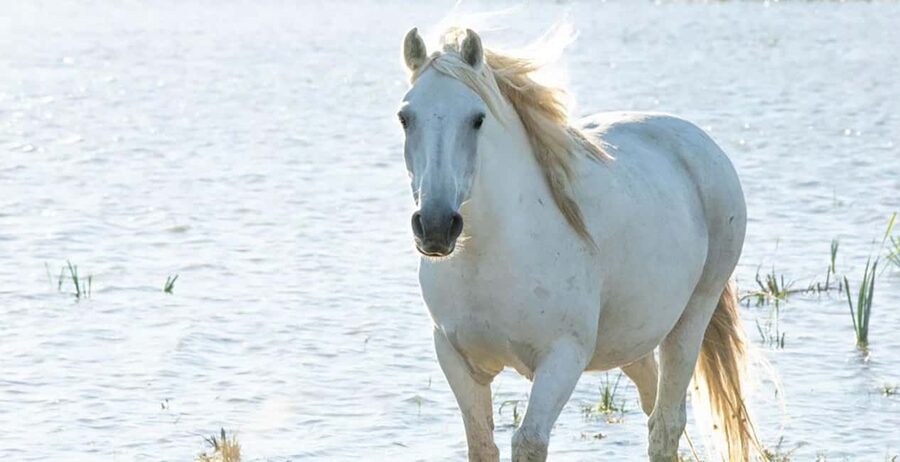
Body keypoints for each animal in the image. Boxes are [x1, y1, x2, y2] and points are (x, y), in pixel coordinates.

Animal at [396, 26, 761, 462]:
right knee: (652, 401)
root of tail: (700, 143)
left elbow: (529, 441)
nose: (436, 227)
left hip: (692, 318)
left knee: (666, 424)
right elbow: (481, 444)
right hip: (632, 336)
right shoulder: (456, 358)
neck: (491, 255)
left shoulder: (563, 358)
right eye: (405, 117)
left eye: (477, 119)